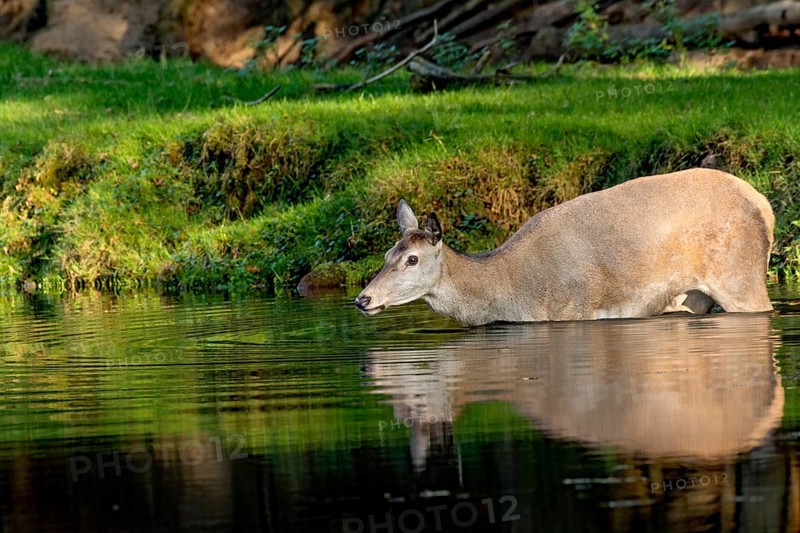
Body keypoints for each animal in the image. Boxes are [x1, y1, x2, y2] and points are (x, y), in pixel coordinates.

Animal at [355, 168, 774, 326]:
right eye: (386, 255)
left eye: (412, 259)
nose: (363, 298)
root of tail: (764, 206)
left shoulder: (571, 308)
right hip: (693, 296)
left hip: (738, 273)